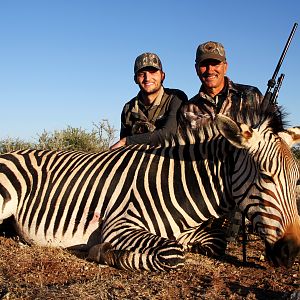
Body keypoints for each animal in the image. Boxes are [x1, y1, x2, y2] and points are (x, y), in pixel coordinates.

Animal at [0, 106, 298, 270]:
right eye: (266, 176)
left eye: (296, 181)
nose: (291, 251)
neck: (178, 185)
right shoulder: (120, 225)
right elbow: (174, 254)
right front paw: (104, 252)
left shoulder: (189, 231)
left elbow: (215, 242)